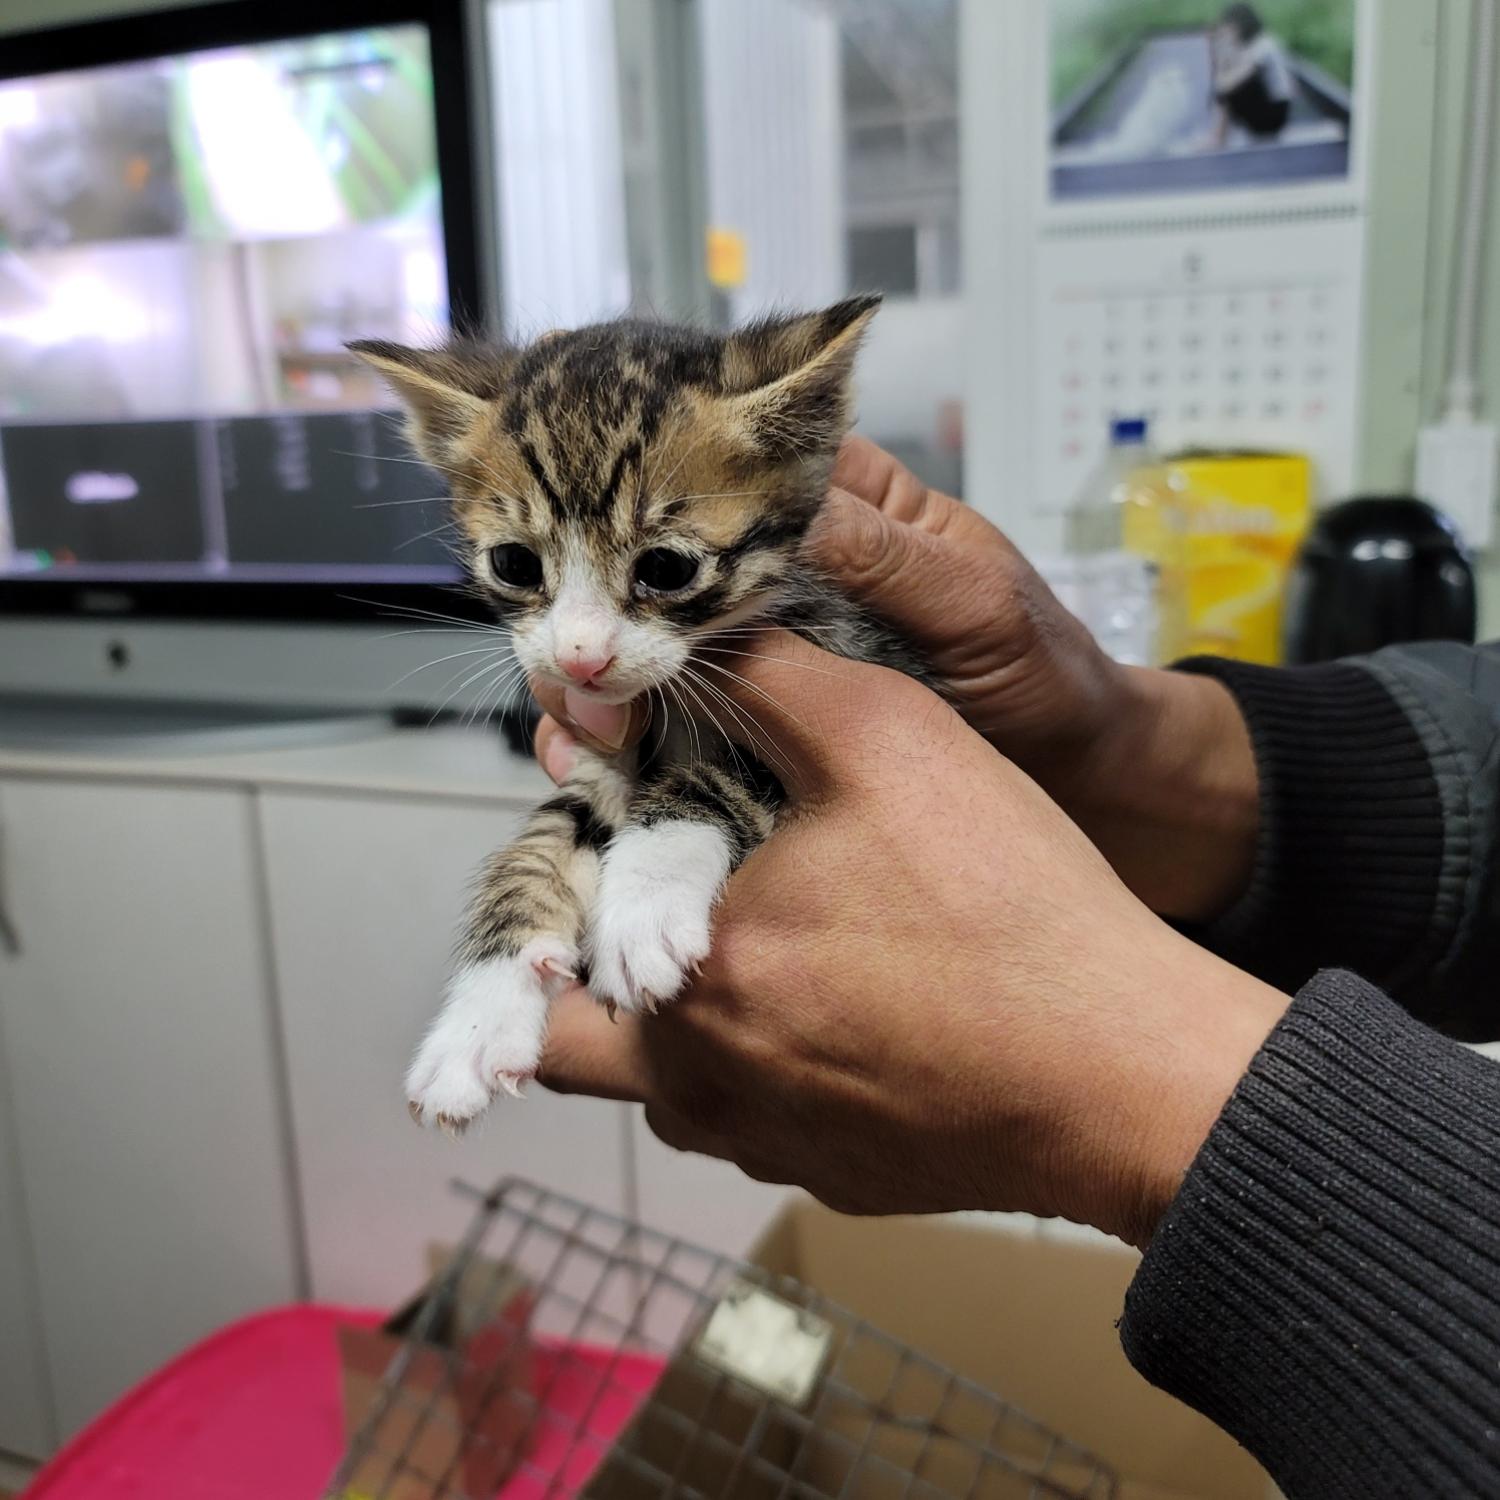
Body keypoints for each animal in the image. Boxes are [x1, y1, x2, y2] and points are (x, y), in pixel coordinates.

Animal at [354, 295, 924, 1134]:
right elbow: (539, 845)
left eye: (666, 568)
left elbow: (717, 778)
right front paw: (476, 1022)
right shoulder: (600, 750)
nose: (580, 659)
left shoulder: (861, 660)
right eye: (514, 564)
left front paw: (645, 903)